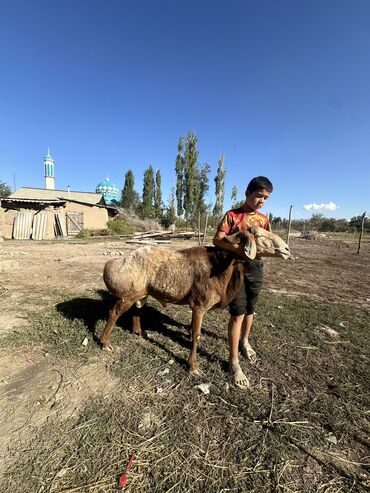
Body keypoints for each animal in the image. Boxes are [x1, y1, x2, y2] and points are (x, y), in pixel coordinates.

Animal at [100, 227, 290, 372]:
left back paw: (139, 332)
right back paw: (105, 343)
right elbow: (197, 336)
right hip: (128, 295)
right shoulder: (199, 306)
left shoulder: (195, 305)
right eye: (258, 235)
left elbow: (193, 330)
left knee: (137, 309)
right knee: (114, 312)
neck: (220, 267)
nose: (287, 249)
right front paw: (193, 367)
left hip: (141, 292)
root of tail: (116, 262)